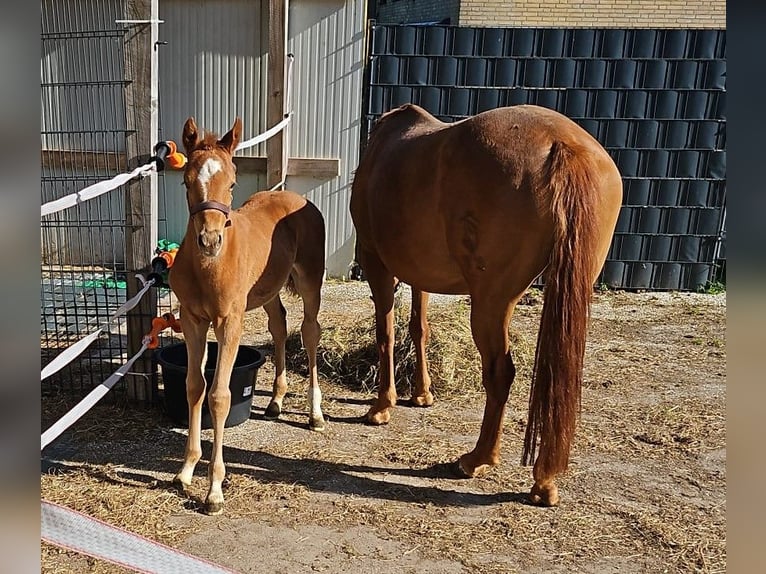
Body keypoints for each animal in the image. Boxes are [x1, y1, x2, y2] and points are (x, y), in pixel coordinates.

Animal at [170, 117, 326, 516]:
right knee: (279, 324)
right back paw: (275, 402)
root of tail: (297, 198)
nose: (209, 241)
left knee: (310, 332)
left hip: (310, 282)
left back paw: (315, 414)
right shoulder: (193, 321)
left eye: (232, 182)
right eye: (186, 181)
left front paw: (214, 490)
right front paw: (186, 469)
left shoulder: (230, 324)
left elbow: (220, 396)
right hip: (267, 293)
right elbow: (194, 386)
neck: (208, 267)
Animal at [352, 104, 624, 508]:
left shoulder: (375, 262)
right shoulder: (419, 272)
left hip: (490, 302)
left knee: (500, 373)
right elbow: (419, 329)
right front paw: (422, 394)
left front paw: (382, 406)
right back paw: (544, 480)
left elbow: (385, 333)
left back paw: (477, 459)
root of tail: (563, 145)